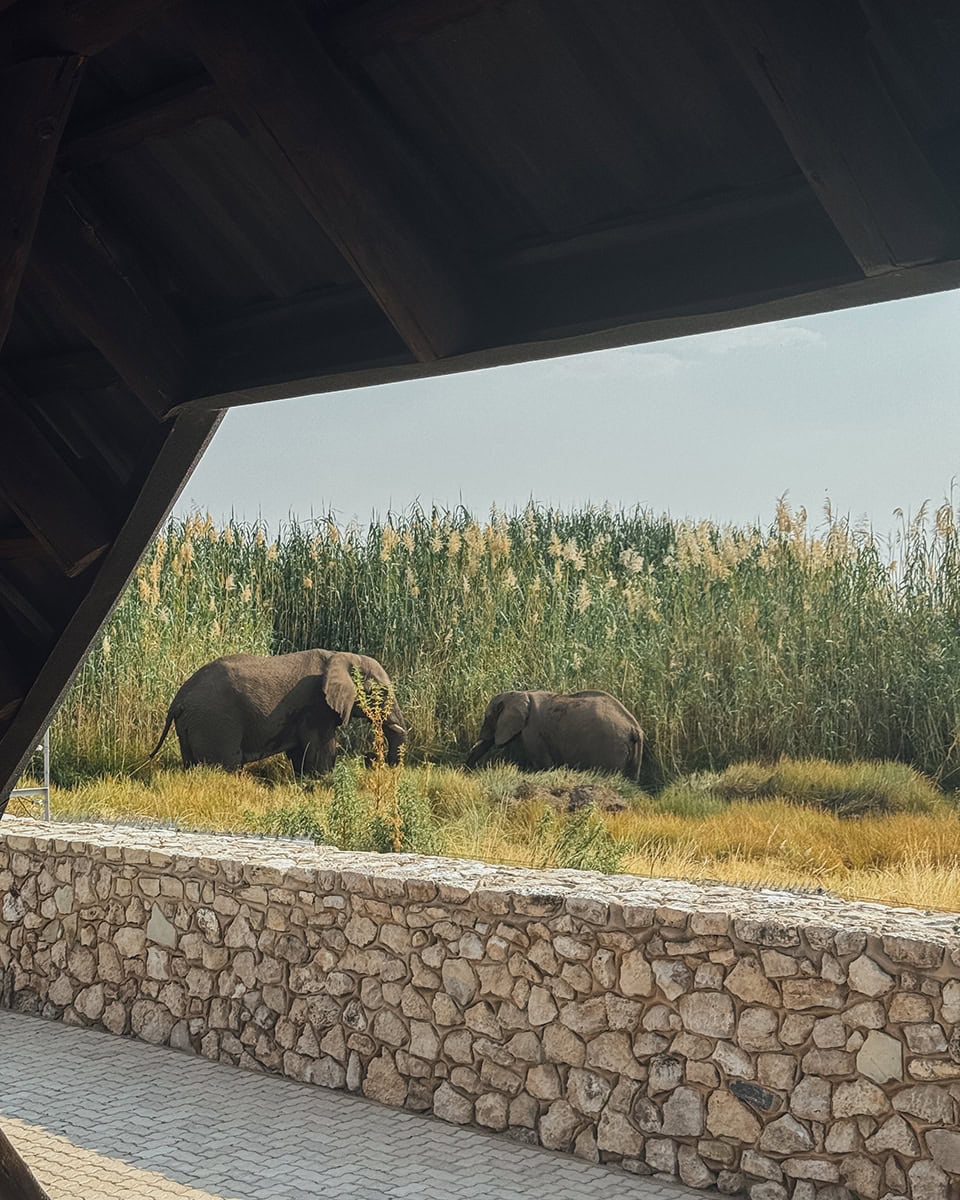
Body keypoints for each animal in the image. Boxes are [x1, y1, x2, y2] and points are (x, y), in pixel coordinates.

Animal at [148, 649, 406, 774]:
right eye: (381, 692)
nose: (370, 758)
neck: (342, 655)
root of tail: (179, 699)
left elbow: (301, 751)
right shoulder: (316, 706)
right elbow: (321, 748)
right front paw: (323, 782)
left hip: (191, 724)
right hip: (214, 722)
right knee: (225, 764)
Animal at [465, 690, 643, 779]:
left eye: (487, 718)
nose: (466, 771)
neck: (519, 693)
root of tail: (633, 728)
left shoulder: (532, 732)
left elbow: (544, 765)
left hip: (611, 747)